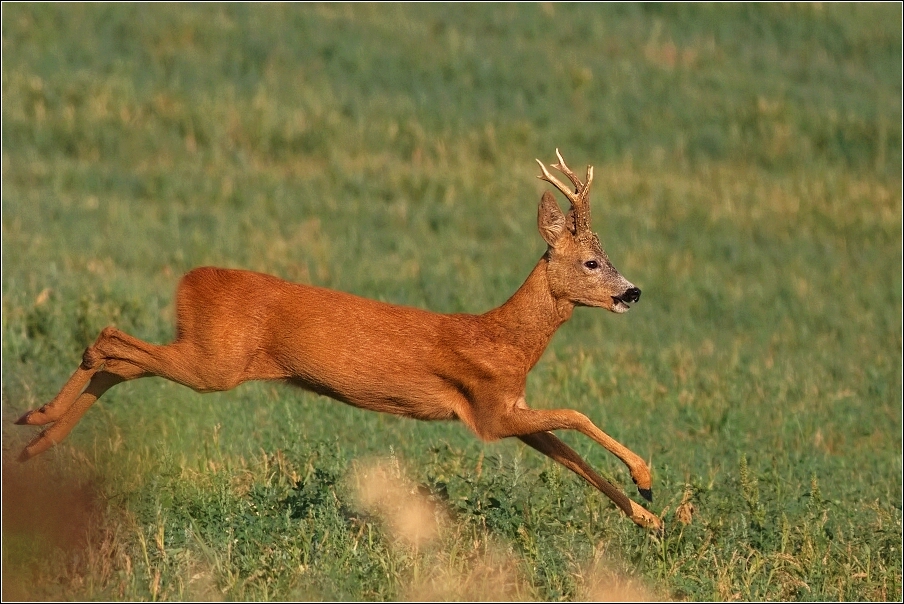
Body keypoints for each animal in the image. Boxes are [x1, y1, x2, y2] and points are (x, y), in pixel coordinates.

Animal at [14, 150, 664, 528]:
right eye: (591, 262)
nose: (633, 292)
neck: (504, 338)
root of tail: (188, 281)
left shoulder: (510, 409)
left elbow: (571, 457)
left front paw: (648, 519)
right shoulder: (487, 412)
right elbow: (577, 417)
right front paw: (648, 480)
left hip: (206, 355)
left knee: (120, 362)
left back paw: (35, 438)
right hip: (214, 363)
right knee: (107, 339)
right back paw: (36, 424)